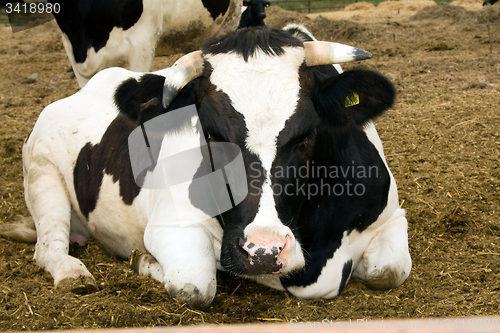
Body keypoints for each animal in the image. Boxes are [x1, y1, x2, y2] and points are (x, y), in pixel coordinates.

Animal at [1, 24, 412, 308]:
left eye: (306, 134)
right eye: (212, 134)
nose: (263, 251)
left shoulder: (391, 215)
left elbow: (390, 271)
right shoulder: (173, 225)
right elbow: (194, 286)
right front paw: (144, 262)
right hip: (42, 175)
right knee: (48, 246)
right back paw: (72, 271)